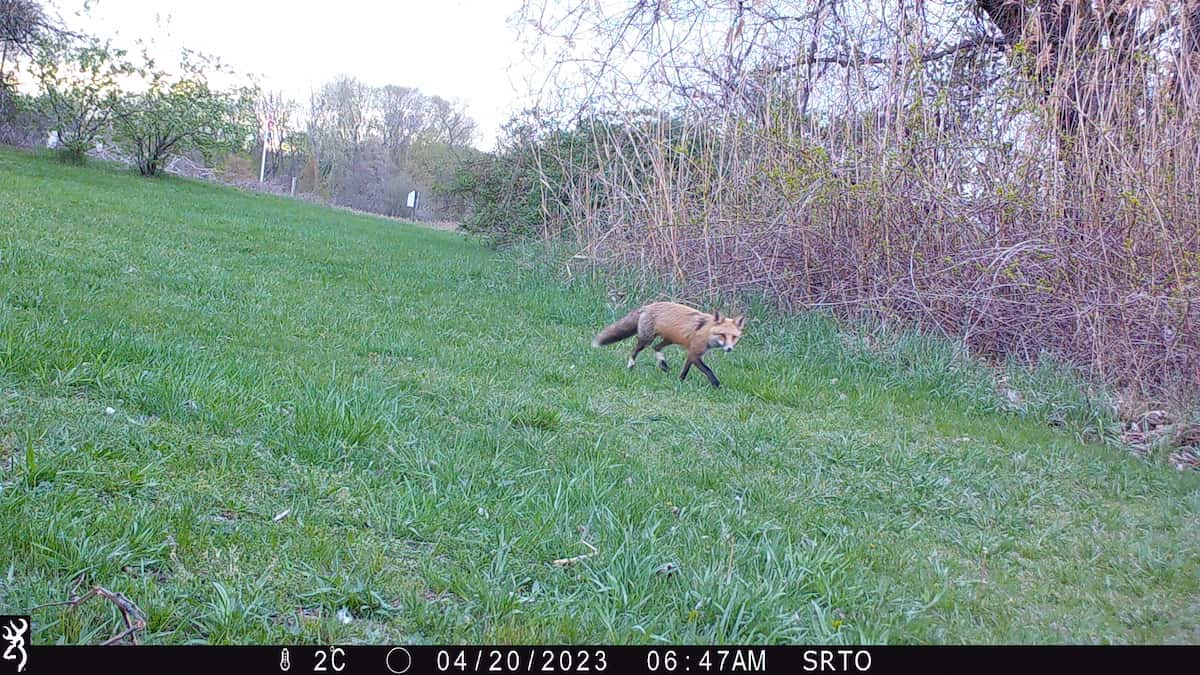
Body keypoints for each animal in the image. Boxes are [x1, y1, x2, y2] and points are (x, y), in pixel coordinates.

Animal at [592, 302, 744, 386]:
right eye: (722, 335)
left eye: (734, 337)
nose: (729, 349)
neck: (707, 330)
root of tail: (648, 306)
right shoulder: (695, 353)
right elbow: (709, 371)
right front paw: (717, 386)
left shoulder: (692, 353)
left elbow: (685, 370)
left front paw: (680, 381)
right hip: (646, 339)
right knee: (635, 350)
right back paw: (631, 365)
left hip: (669, 340)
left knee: (656, 347)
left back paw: (663, 364)